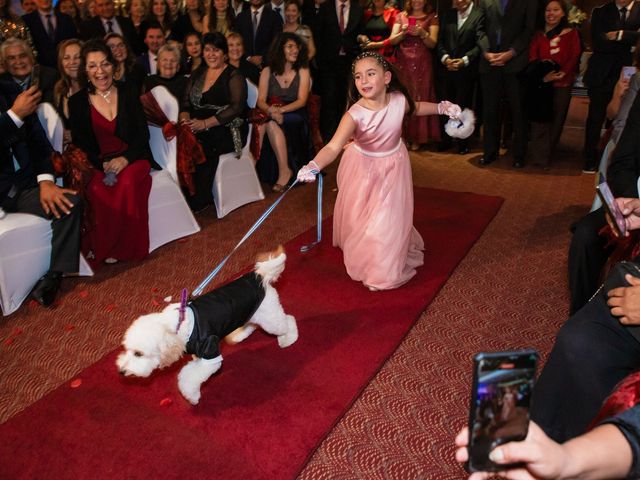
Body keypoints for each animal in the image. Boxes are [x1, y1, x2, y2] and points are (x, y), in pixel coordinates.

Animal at [117, 248, 298, 404]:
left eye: (139, 354)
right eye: (127, 349)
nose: (121, 371)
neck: (178, 325)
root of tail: (259, 276)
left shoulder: (210, 353)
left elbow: (188, 377)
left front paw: (192, 397)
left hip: (270, 319)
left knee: (288, 320)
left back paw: (288, 338)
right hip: (249, 313)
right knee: (252, 324)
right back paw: (240, 335)